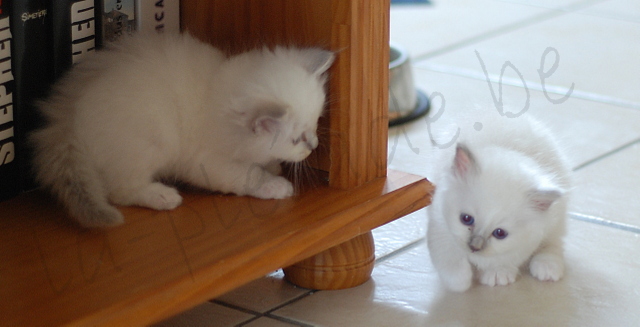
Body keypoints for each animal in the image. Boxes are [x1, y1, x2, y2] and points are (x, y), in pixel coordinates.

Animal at [30, 32, 336, 228]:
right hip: (151, 141)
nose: (314, 146)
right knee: (120, 190)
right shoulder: (206, 163)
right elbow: (247, 175)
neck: (215, 95)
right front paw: (274, 183)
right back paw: (162, 196)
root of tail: (67, 114)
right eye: (297, 139)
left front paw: (272, 165)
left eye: (316, 123)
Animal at [430, 115, 568, 292]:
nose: (474, 247)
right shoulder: (438, 222)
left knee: (553, 242)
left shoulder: (525, 241)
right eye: (466, 219)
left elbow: (502, 258)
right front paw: (461, 281)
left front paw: (496, 274)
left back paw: (547, 267)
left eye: (500, 233)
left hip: (557, 218)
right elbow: (448, 257)